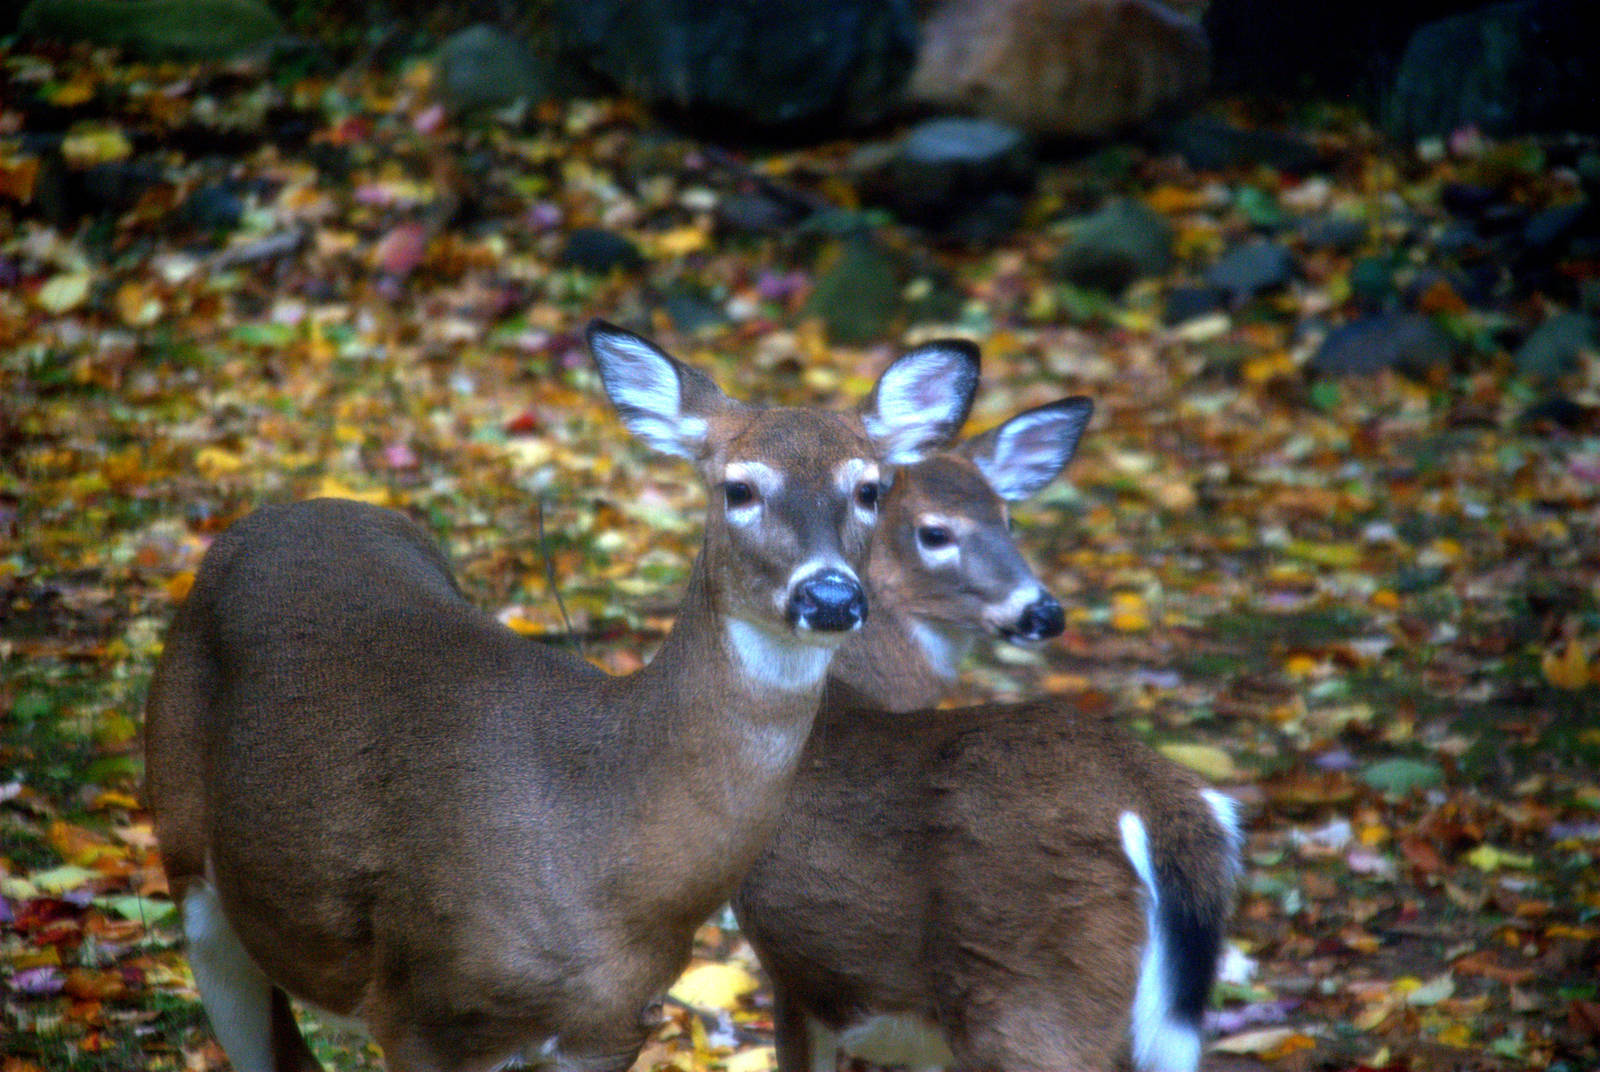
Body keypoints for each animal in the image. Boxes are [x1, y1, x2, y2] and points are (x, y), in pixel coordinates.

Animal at [141, 319, 982, 1072]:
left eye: (869, 488)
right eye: (739, 488)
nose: (830, 596)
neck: (598, 844)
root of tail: (287, 509)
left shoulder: (611, 1027)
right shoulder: (422, 1011)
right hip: (187, 857)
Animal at [732, 395, 1244, 1072]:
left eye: (1009, 518)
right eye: (935, 532)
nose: (1042, 612)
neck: (845, 694)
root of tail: (1161, 808)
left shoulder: (795, 970)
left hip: (1025, 988)